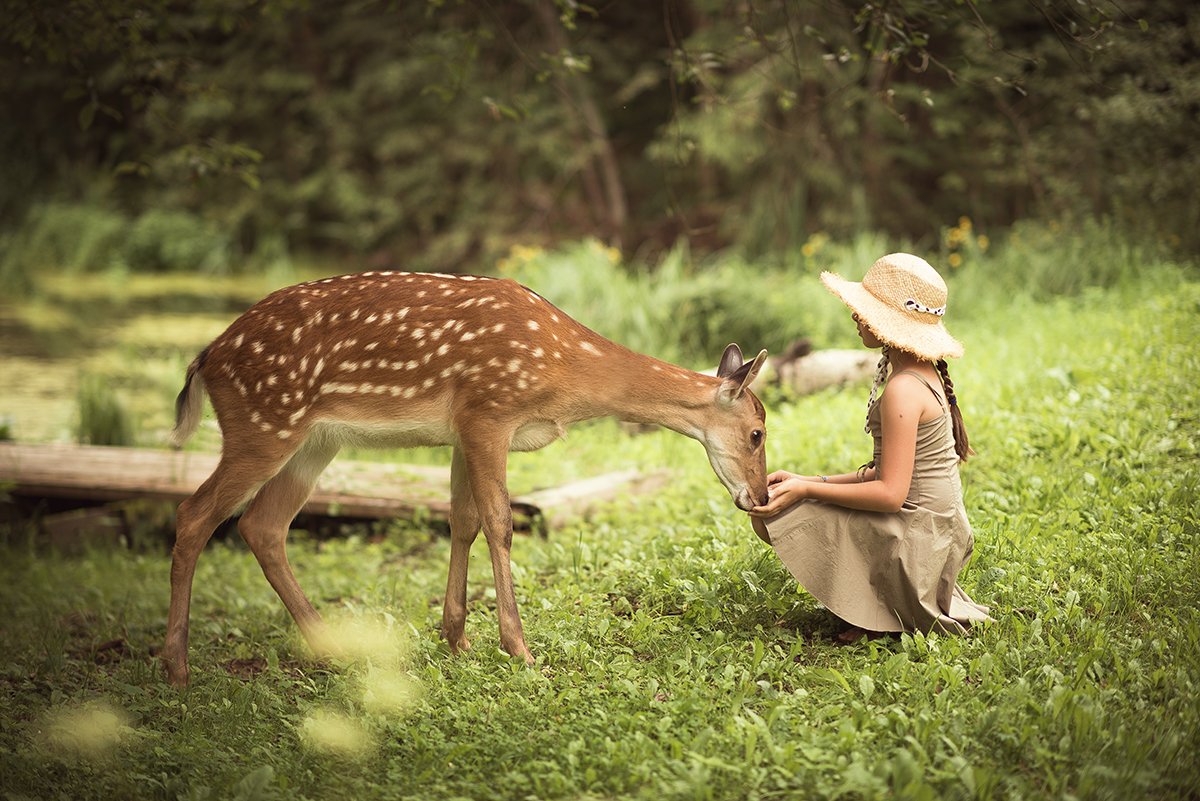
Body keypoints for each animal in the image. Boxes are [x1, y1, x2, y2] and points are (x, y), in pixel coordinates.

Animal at [164, 272, 768, 685]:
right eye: (758, 433)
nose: (759, 495)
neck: (565, 373)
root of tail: (205, 358)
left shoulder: (460, 431)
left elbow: (463, 521)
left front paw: (456, 638)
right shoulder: (488, 412)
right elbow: (500, 522)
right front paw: (518, 648)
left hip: (314, 440)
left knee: (262, 525)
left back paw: (332, 650)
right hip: (264, 422)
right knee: (195, 513)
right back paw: (177, 668)